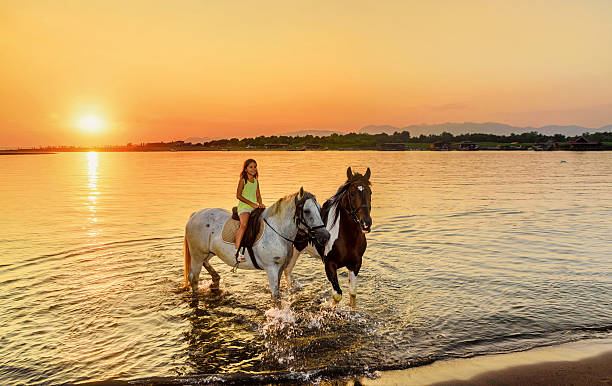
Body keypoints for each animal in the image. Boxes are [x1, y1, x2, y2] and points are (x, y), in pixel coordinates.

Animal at [286, 167, 372, 306]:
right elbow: (337, 295)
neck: (347, 238)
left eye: (370, 192)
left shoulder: (356, 264)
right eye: (352, 193)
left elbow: (352, 293)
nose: (366, 223)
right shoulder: (330, 265)